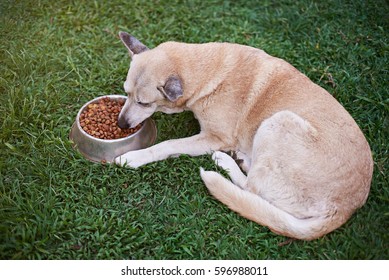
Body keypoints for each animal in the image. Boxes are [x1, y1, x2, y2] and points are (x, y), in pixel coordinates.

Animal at [116, 31, 372, 240]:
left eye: (143, 102)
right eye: (126, 93)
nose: (120, 124)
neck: (207, 71)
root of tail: (345, 208)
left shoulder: (215, 138)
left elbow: (166, 145)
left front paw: (133, 158)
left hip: (278, 121)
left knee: (250, 189)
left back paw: (225, 161)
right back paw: (241, 158)